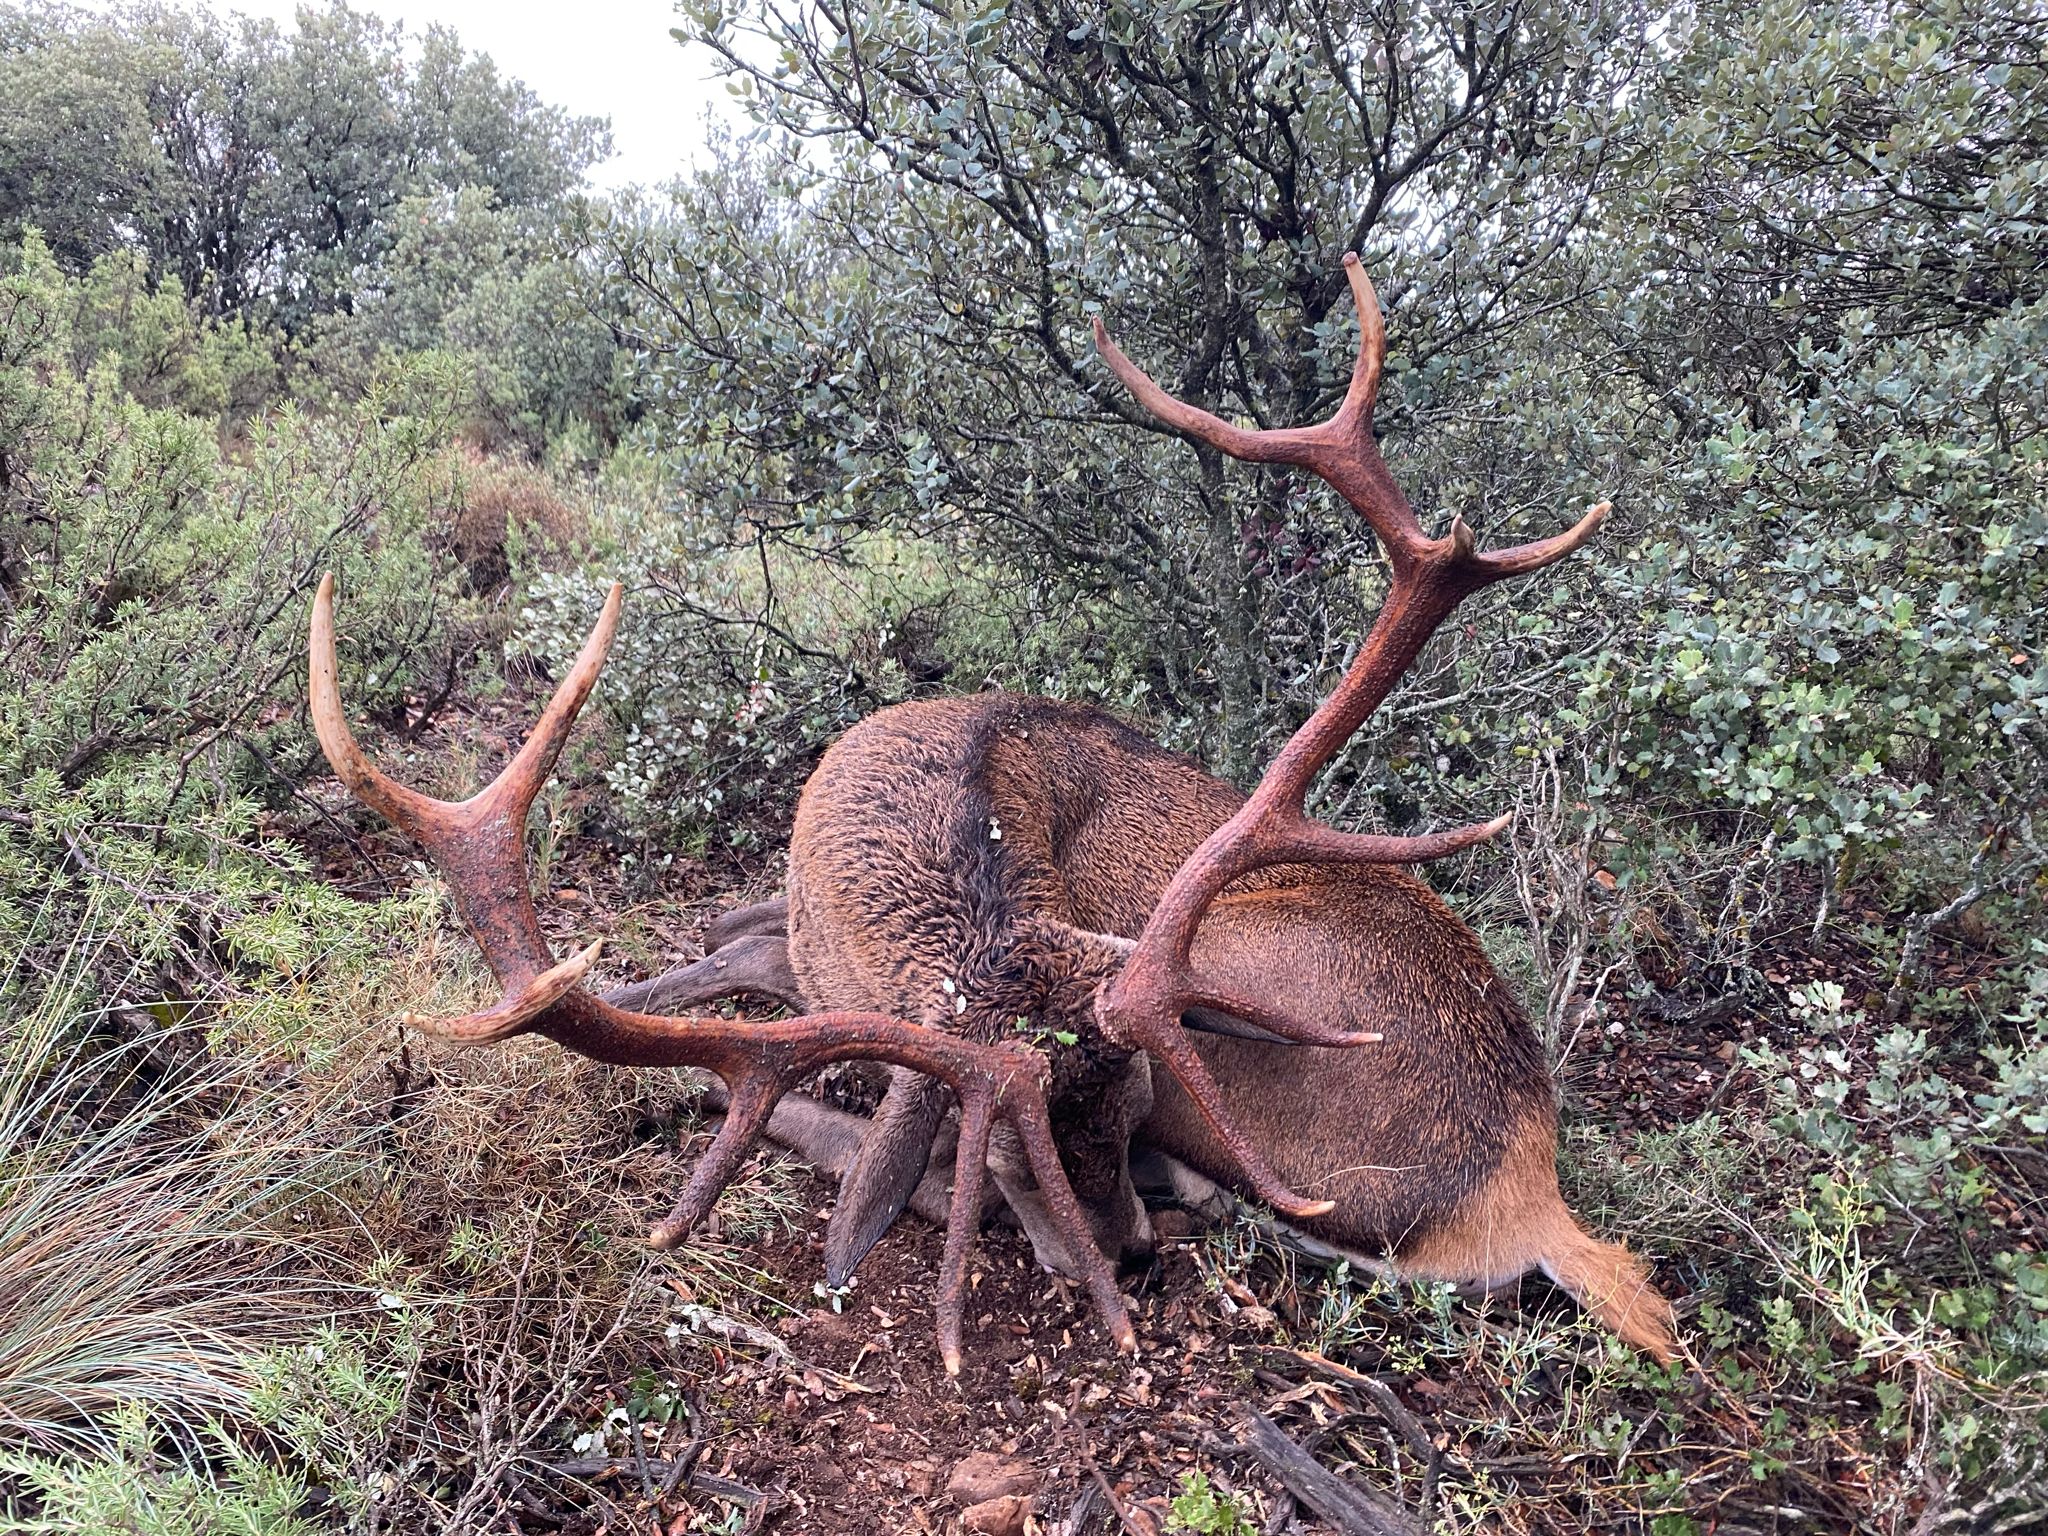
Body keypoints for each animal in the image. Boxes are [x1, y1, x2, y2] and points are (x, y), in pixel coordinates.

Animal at [309, 254, 1678, 1367]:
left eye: (1122, 1108)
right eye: (1017, 1162)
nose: (1127, 1258)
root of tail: (1524, 1191)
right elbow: (717, 944)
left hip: (1247, 1017)